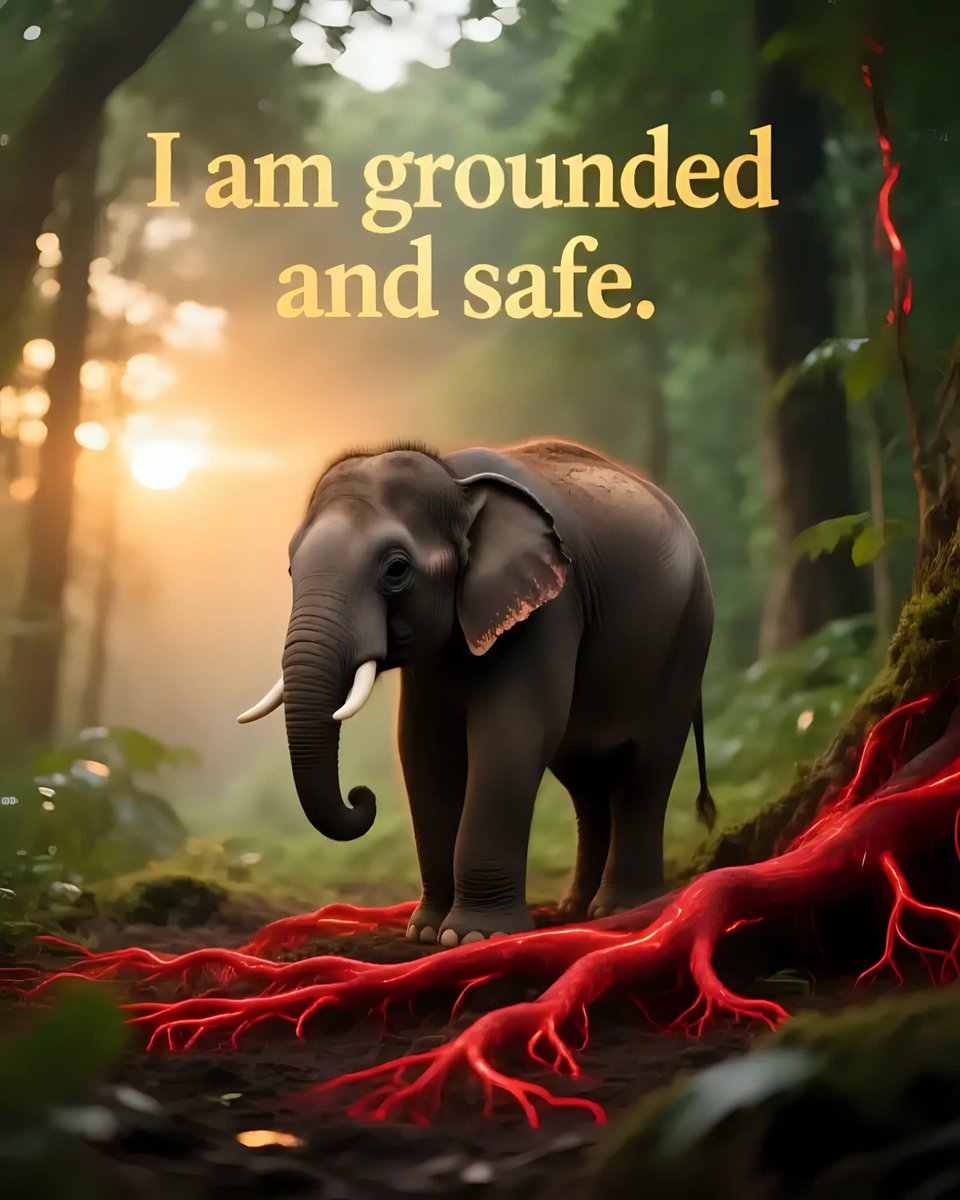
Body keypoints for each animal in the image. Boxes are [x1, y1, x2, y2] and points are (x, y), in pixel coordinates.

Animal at [239, 438, 714, 947]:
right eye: (291, 567)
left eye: (396, 569)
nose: (361, 795)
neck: (455, 481)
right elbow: (421, 747)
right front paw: (426, 932)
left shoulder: (549, 610)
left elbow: (510, 734)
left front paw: (472, 937)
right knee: (585, 779)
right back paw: (575, 909)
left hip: (688, 632)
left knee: (645, 767)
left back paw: (623, 907)